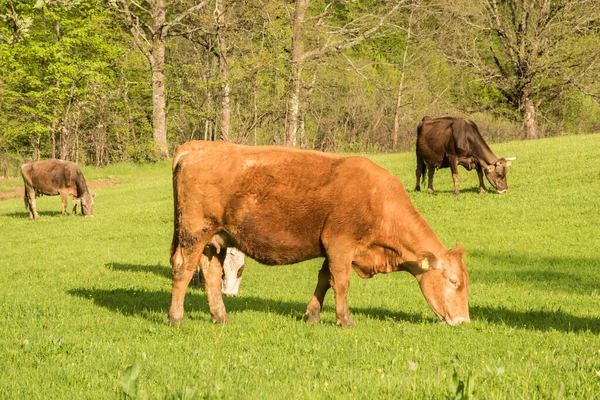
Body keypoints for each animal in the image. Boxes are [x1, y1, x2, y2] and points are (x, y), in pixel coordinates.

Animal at [168, 141, 468, 328]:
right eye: (453, 281)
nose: (463, 321)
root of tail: (195, 147)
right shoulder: (341, 245)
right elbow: (342, 283)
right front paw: (345, 320)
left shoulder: (332, 249)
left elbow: (324, 280)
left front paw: (312, 314)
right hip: (194, 233)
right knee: (183, 271)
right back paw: (176, 317)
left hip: (215, 240)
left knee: (210, 274)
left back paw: (221, 317)